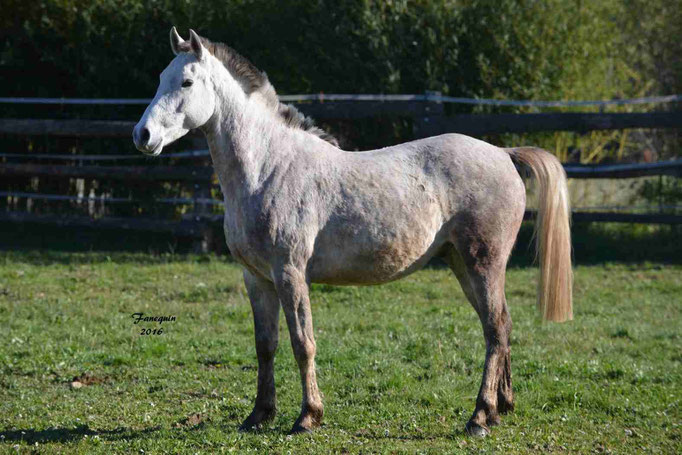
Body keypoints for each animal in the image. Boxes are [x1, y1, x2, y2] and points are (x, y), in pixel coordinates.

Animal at [131, 28, 568, 438]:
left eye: (187, 82)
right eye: (161, 78)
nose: (143, 135)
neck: (269, 167)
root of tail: (504, 154)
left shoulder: (290, 274)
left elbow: (302, 343)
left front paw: (307, 417)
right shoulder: (256, 278)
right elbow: (265, 346)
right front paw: (258, 416)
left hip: (483, 262)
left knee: (495, 329)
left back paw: (478, 416)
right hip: (461, 264)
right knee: (500, 326)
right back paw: (499, 409)